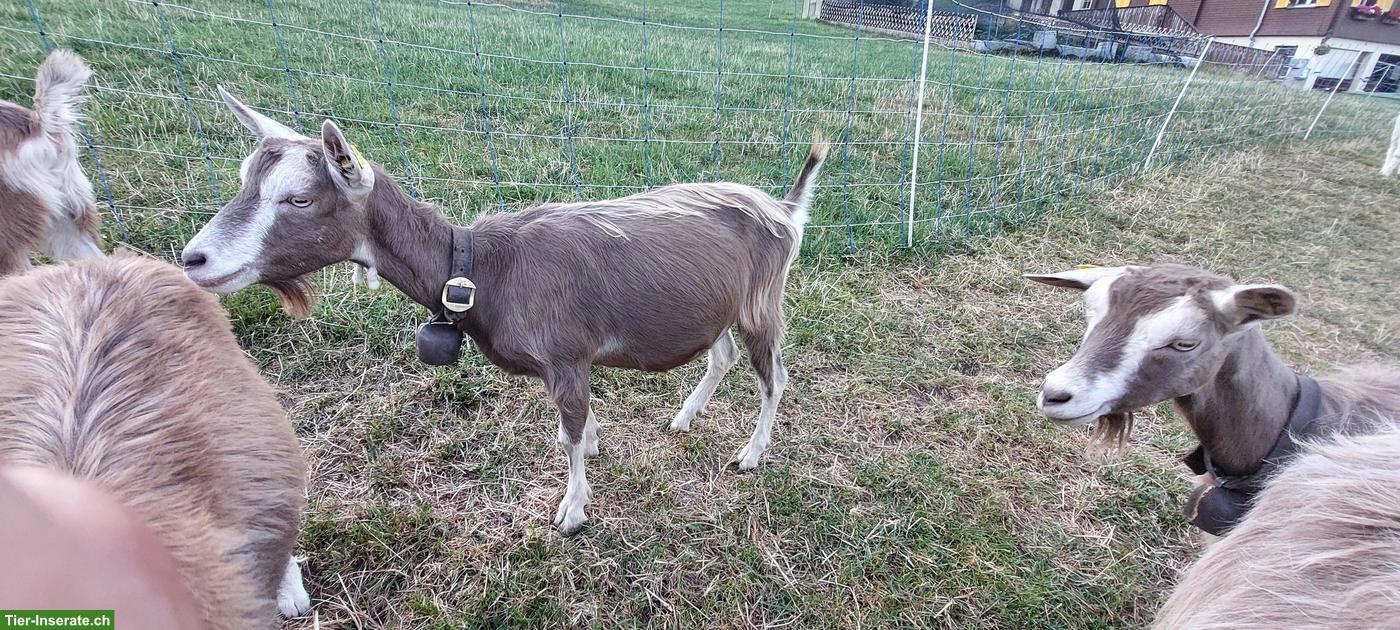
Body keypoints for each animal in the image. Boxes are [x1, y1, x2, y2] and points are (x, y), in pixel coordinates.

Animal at [180, 88, 827, 534]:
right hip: (711, 307)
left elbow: (567, 433)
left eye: (299, 198)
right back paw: (684, 418)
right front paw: (597, 449)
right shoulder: (571, 364)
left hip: (761, 302)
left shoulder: (564, 355)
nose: (194, 258)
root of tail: (785, 209)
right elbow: (579, 426)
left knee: (774, 376)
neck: (479, 268)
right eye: (245, 180)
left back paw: (750, 456)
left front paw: (571, 511)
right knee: (720, 355)